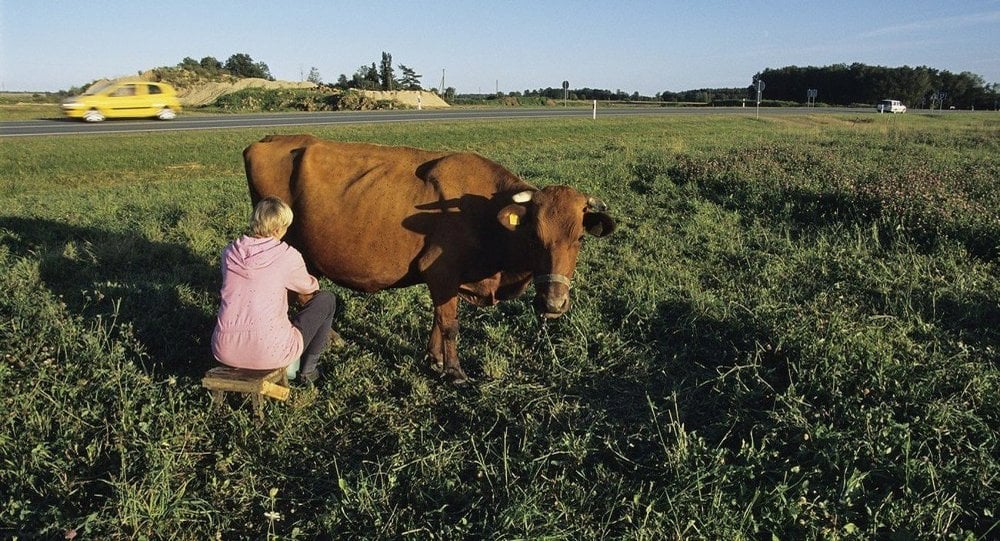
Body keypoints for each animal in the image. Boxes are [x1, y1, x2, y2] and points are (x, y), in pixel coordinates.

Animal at [246, 133, 612, 382]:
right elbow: (449, 324)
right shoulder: (443, 272)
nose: (553, 303)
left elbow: (438, 319)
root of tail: (271, 139)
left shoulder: (445, 279)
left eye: (579, 238)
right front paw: (454, 371)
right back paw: (332, 339)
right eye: (534, 236)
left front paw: (434, 360)